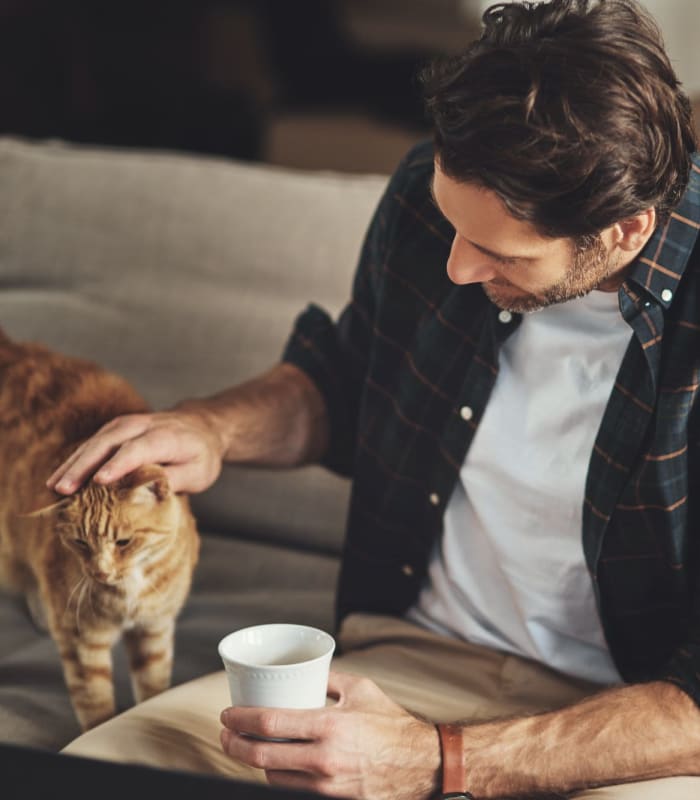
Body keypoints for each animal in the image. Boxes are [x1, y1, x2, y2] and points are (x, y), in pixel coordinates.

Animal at [0, 326, 200, 732]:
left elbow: (153, 691)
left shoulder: (154, 630)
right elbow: (96, 706)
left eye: (124, 542)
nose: (101, 573)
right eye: (79, 543)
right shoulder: (81, 643)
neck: (129, 590)